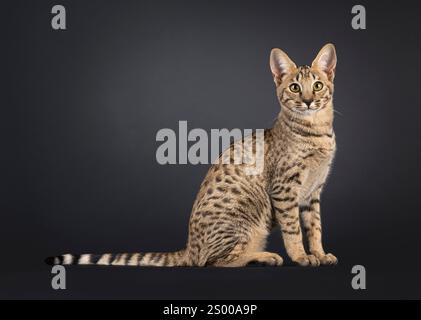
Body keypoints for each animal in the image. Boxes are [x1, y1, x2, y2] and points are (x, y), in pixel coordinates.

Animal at [45, 43, 338, 268]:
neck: (317, 131)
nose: (308, 101)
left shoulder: (313, 192)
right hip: (245, 224)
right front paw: (301, 257)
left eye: (318, 85)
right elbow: (294, 230)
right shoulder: (285, 189)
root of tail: (189, 246)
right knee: (213, 261)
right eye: (295, 88)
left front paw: (319, 254)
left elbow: (315, 228)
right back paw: (262, 256)